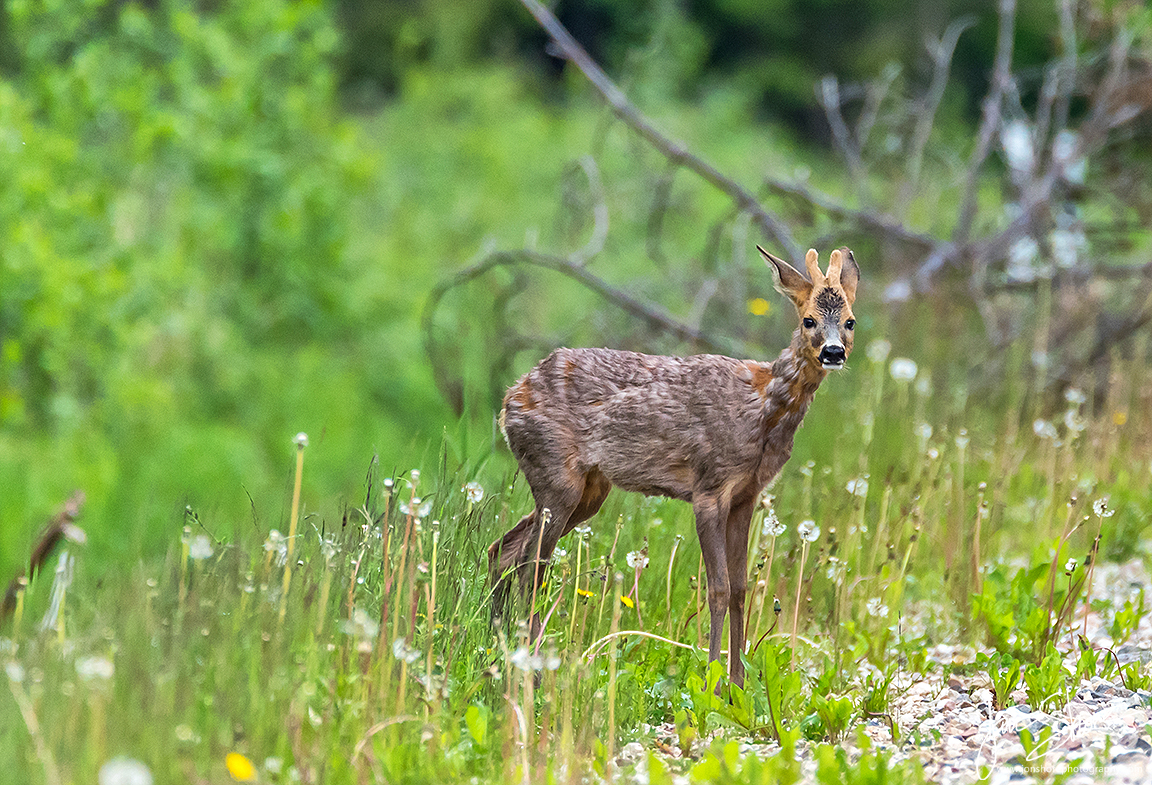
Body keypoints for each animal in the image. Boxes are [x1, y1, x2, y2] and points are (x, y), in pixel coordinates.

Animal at [489, 245, 860, 686]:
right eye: (809, 320)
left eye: (850, 321)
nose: (833, 353)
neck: (763, 407)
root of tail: (509, 400)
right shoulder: (710, 487)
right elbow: (717, 588)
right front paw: (714, 680)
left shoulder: (747, 495)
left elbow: (740, 588)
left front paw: (738, 684)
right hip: (556, 476)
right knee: (531, 566)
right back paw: (531, 669)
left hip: (589, 489)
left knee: (504, 550)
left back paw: (498, 648)